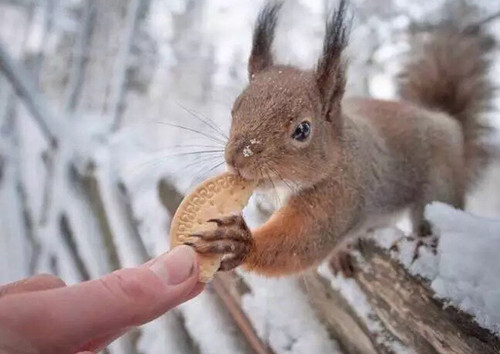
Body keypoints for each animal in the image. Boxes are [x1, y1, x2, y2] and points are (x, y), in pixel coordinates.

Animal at [186, 0, 494, 276]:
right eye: (234, 108)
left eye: (303, 130)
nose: (237, 158)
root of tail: (446, 121)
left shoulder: (340, 195)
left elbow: (302, 243)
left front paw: (239, 242)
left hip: (438, 189)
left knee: (430, 222)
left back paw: (421, 243)